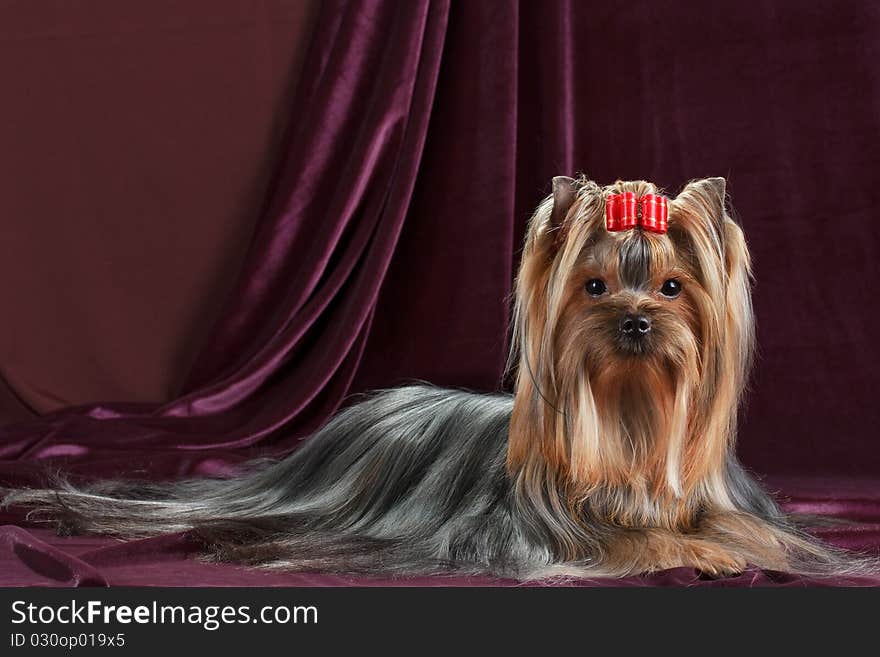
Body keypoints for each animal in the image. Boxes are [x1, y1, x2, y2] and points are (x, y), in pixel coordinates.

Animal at [1, 176, 868, 580]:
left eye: (671, 287)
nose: (633, 321)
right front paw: (681, 550)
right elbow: (629, 541)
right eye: (593, 286)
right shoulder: (546, 535)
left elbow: (752, 530)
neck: (630, 416)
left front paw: (724, 544)